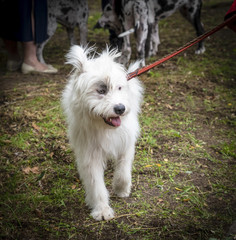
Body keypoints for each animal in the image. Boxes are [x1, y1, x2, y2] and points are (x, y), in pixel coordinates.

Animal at [60, 45, 143, 221]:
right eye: (101, 90)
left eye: (119, 88)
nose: (120, 108)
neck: (105, 128)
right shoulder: (89, 154)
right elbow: (96, 184)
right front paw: (102, 210)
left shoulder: (125, 143)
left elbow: (123, 170)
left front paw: (121, 189)